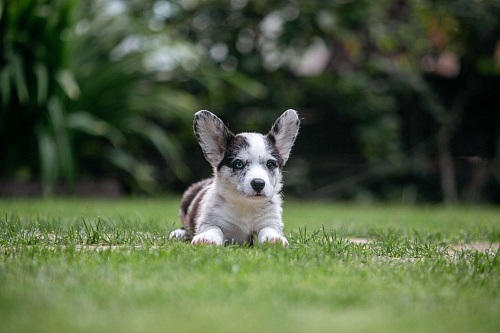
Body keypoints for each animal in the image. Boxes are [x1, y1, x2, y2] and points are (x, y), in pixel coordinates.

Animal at [170, 109, 298, 244]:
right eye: (238, 164)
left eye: (270, 164)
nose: (258, 183)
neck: (246, 205)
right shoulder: (209, 220)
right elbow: (214, 228)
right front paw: (207, 237)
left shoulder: (271, 221)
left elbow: (267, 229)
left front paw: (274, 239)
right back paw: (178, 233)